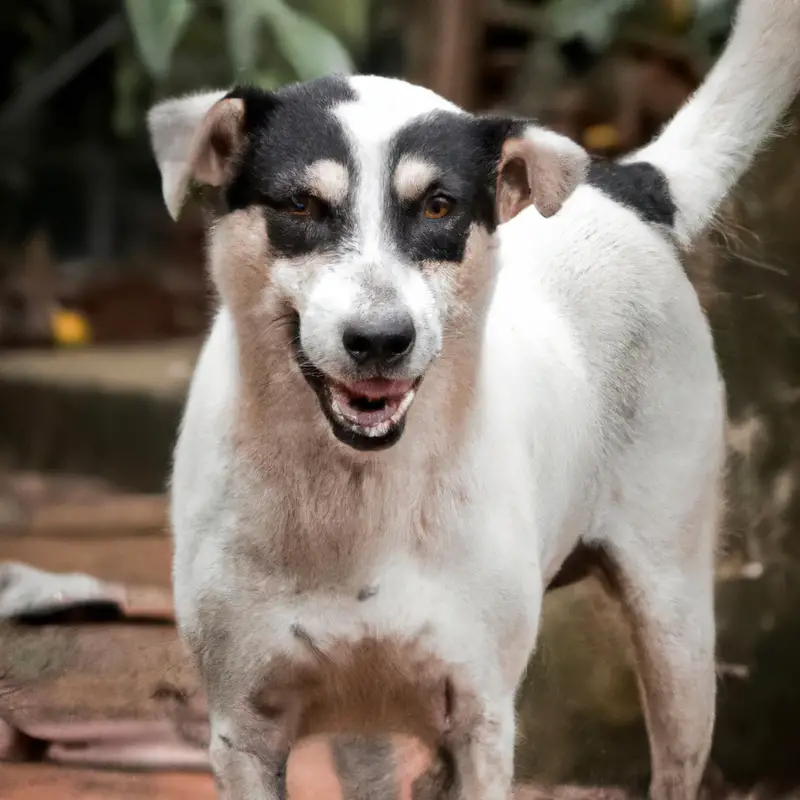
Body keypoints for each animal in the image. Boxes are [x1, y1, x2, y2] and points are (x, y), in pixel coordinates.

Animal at [147, 3, 800, 796]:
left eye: (438, 206)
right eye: (302, 203)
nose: (380, 340)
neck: (356, 499)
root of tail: (623, 188)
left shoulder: (481, 718)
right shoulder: (244, 729)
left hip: (675, 622)